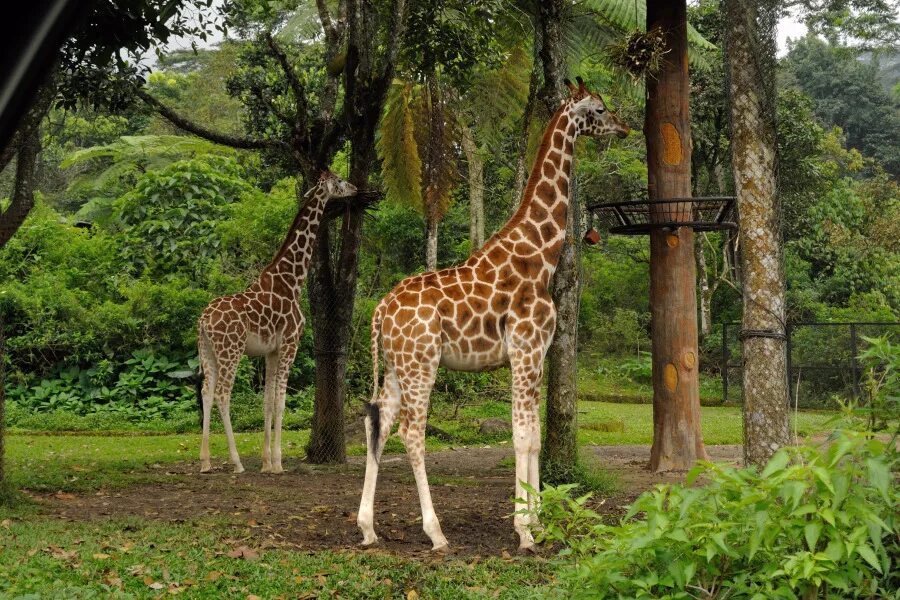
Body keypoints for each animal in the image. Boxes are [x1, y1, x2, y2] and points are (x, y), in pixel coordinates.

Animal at [196, 172, 356, 474]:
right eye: (339, 181)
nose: (354, 188)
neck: (292, 281)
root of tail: (202, 321)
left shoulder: (271, 350)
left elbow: (267, 401)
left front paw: (266, 462)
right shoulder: (290, 343)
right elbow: (281, 402)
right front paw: (279, 462)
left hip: (207, 351)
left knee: (206, 392)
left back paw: (206, 461)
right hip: (231, 350)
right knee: (223, 394)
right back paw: (236, 462)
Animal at [356, 79, 624, 552]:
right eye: (598, 108)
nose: (624, 126)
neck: (540, 257)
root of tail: (381, 310)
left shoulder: (536, 357)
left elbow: (534, 437)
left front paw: (538, 521)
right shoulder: (525, 351)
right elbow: (519, 436)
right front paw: (524, 530)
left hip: (394, 366)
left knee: (380, 425)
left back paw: (368, 528)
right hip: (421, 364)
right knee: (412, 433)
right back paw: (436, 532)